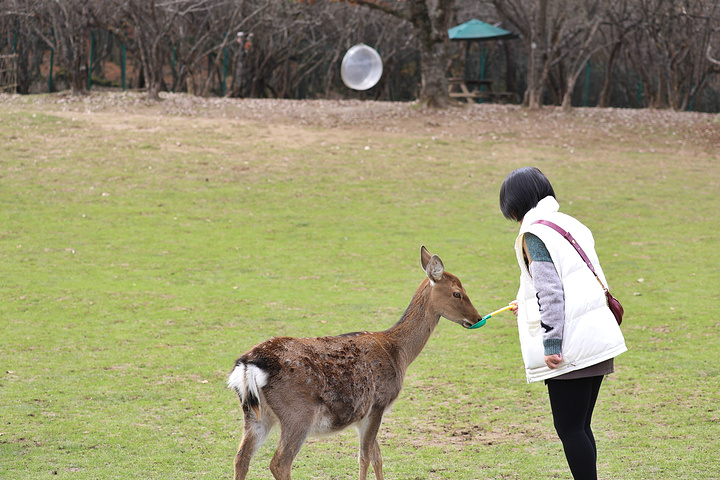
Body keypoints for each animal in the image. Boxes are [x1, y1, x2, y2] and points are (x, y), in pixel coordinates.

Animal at [228, 248, 480, 480]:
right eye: (457, 293)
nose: (477, 318)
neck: (399, 353)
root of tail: (249, 365)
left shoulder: (365, 414)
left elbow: (377, 457)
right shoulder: (378, 403)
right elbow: (365, 457)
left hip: (255, 414)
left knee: (241, 457)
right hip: (297, 413)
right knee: (279, 462)